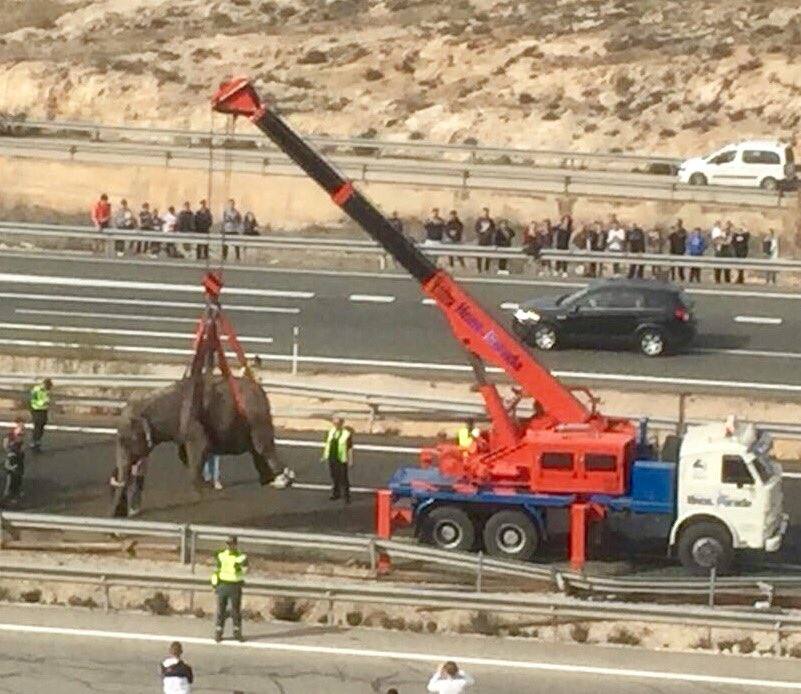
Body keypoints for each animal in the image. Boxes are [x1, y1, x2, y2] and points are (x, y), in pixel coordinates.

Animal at [111, 376, 290, 516]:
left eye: (126, 441)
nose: (120, 514)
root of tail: (261, 389)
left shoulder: (192, 422)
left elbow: (199, 448)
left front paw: (197, 495)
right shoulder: (181, 430)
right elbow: (185, 455)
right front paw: (204, 487)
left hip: (257, 418)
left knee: (262, 447)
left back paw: (282, 481)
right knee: (257, 452)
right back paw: (268, 481)